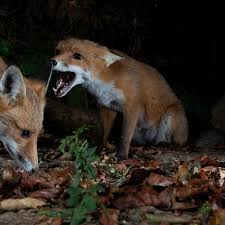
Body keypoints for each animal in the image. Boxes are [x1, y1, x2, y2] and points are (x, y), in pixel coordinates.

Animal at [50, 37, 188, 159]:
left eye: (77, 56)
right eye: (58, 51)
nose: (52, 61)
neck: (104, 82)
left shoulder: (132, 106)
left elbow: (124, 137)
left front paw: (122, 156)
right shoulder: (106, 106)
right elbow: (103, 134)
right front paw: (98, 150)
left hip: (171, 114)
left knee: (176, 142)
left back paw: (165, 143)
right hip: (138, 133)